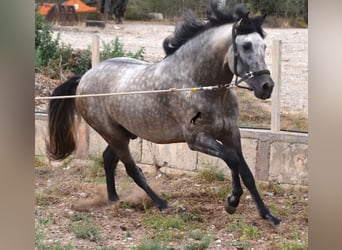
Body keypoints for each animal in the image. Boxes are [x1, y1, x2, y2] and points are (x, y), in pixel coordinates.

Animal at [46, 0, 280, 226]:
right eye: (246, 46)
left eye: (264, 46)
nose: (266, 87)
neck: (201, 85)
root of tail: (83, 78)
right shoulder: (196, 139)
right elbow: (232, 160)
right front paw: (232, 201)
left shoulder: (231, 133)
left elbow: (246, 172)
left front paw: (268, 215)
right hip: (113, 134)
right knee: (132, 169)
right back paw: (161, 204)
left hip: (123, 134)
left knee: (109, 159)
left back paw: (114, 199)